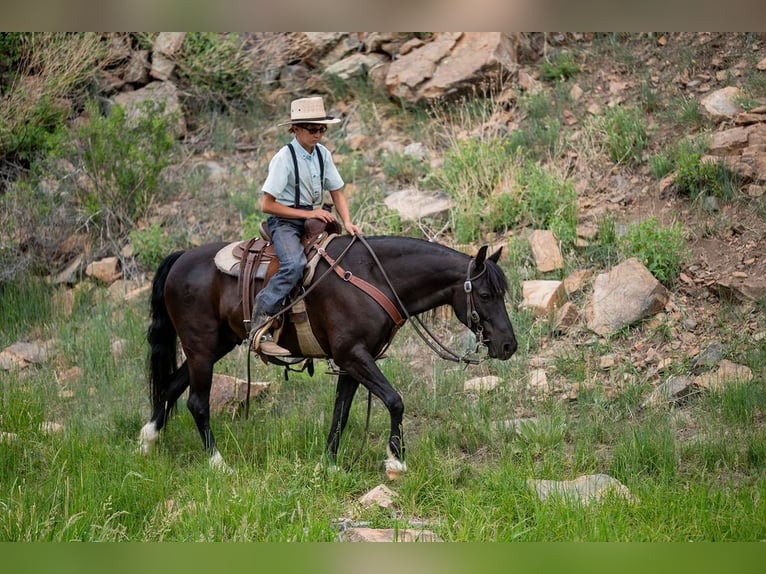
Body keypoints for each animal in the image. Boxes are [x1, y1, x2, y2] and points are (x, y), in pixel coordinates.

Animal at [139, 233, 517, 477]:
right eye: (485, 294)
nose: (509, 345)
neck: (373, 277)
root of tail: (180, 258)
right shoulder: (353, 355)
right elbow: (395, 400)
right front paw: (396, 461)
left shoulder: (352, 363)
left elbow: (341, 413)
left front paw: (329, 463)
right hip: (201, 347)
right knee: (196, 403)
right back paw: (218, 464)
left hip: (216, 345)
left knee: (171, 386)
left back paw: (147, 442)